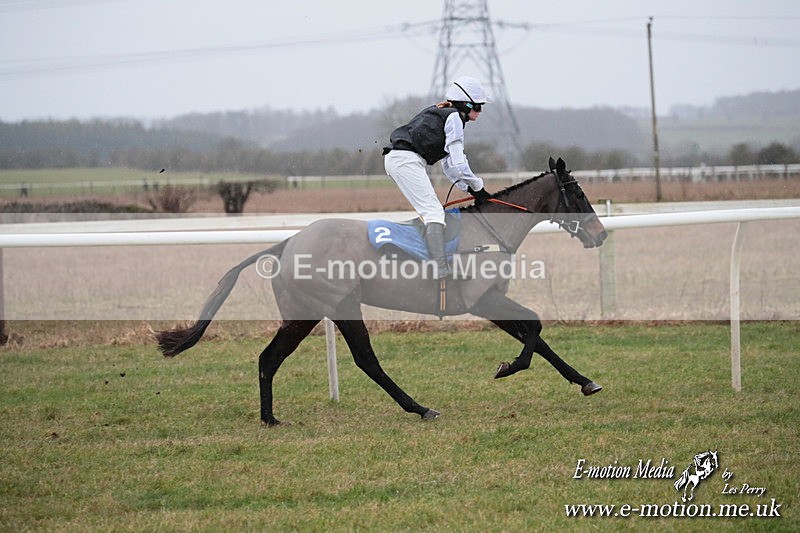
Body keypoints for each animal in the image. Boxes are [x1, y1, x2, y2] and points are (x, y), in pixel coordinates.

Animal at [156, 157, 608, 426]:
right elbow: (534, 325)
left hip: (303, 313)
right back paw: (421, 408)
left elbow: (537, 335)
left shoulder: (488, 302)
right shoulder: (484, 299)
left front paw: (585, 381)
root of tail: (287, 243)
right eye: (579, 192)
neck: (488, 233)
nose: (601, 234)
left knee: (270, 358)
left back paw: (270, 419)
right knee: (366, 361)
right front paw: (509, 367)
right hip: (338, 304)